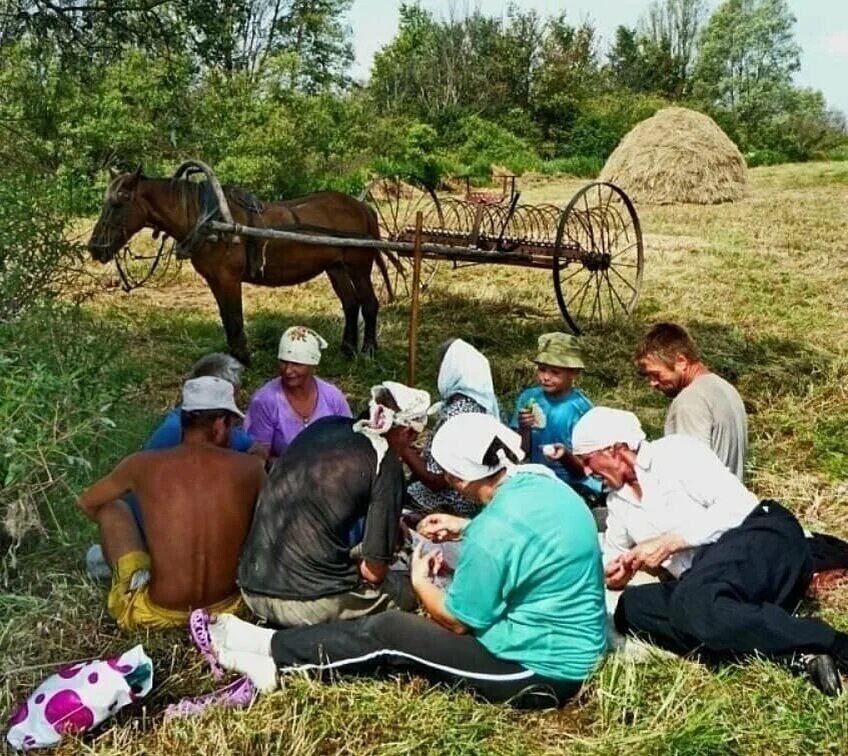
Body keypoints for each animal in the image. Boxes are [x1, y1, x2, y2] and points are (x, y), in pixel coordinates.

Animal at [88, 170, 386, 364]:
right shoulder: (214, 280)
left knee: (369, 303)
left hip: (359, 266)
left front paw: (242, 359)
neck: (209, 221)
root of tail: (362, 207)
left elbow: (235, 319)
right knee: (350, 304)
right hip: (336, 267)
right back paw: (347, 349)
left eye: (118, 203)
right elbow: (226, 318)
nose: (94, 248)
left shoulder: (229, 279)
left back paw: (370, 351)